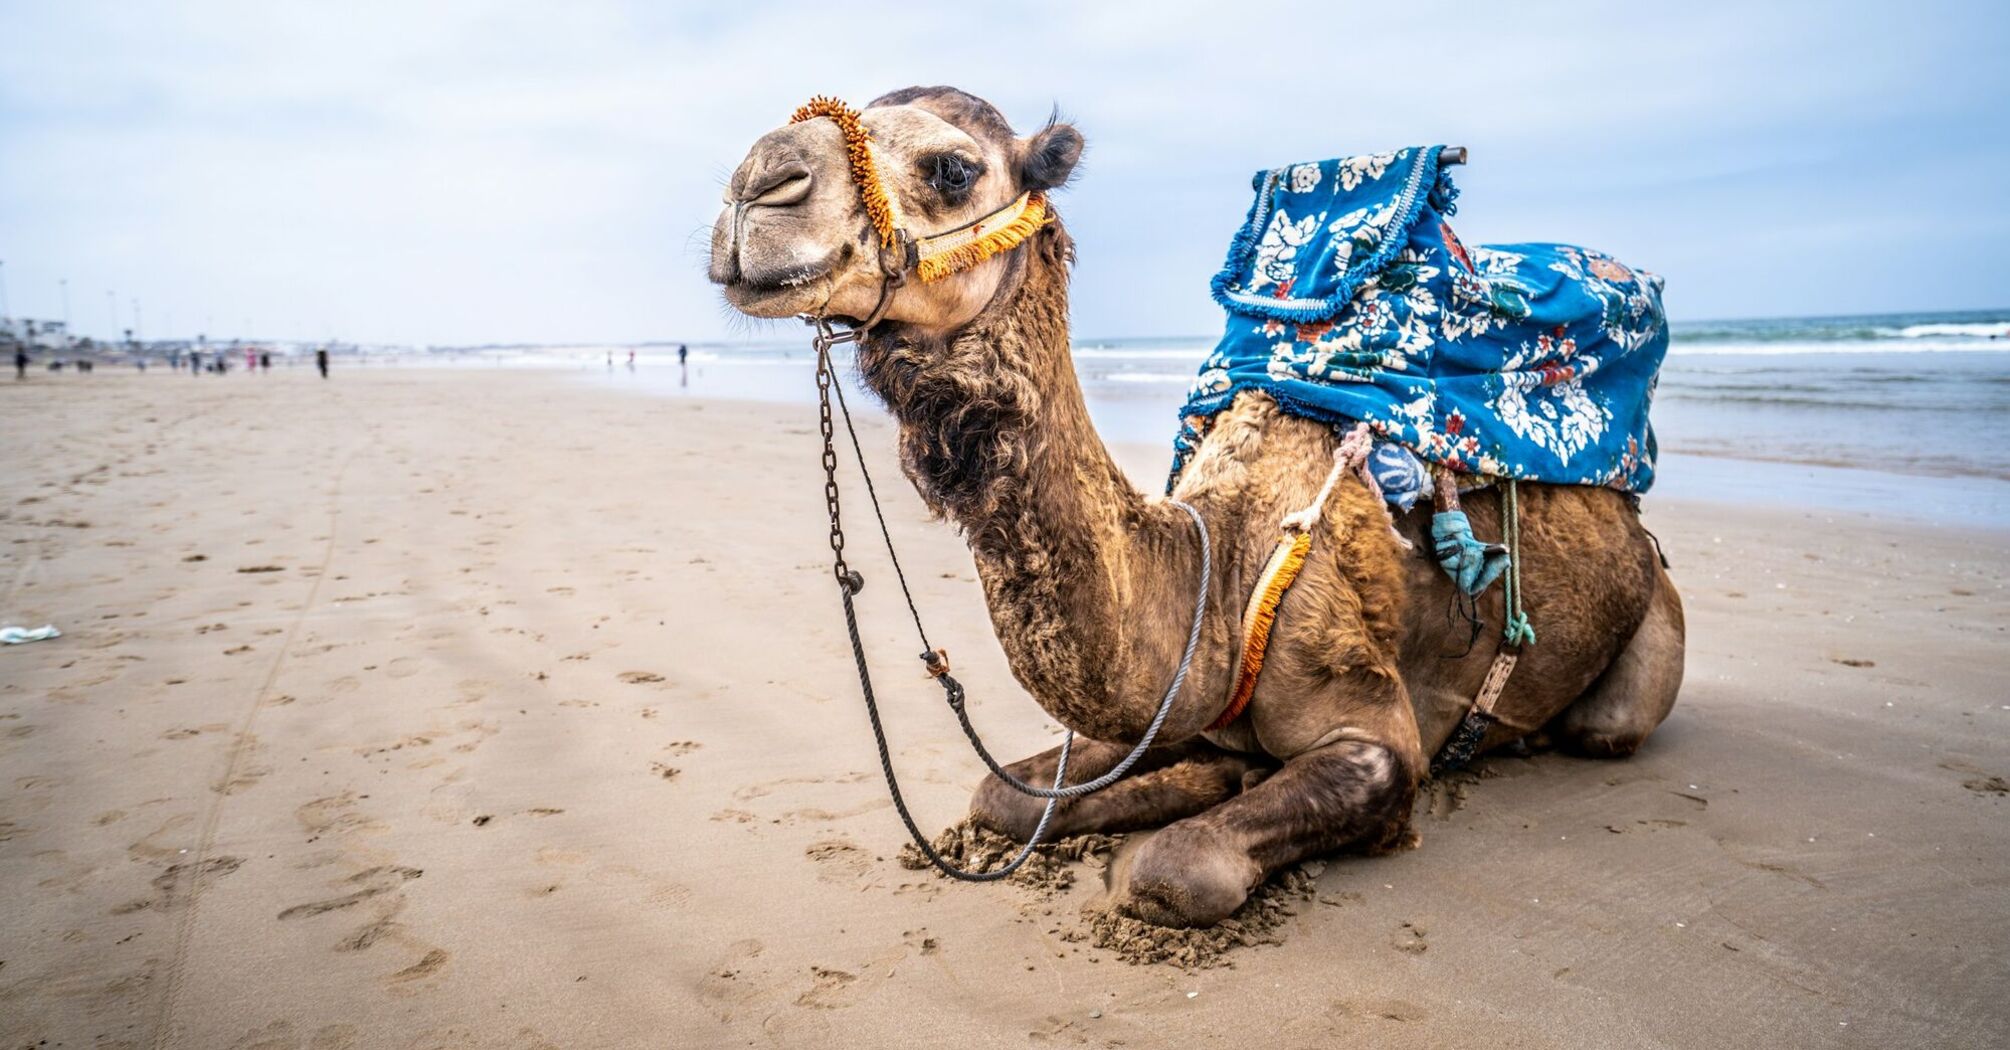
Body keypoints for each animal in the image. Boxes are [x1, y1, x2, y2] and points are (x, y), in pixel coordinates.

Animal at [708, 86, 1685, 928]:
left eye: (952, 168)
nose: (758, 179)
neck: (1220, 570)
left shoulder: (1374, 728)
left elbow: (1174, 867)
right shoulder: (1171, 707)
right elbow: (999, 795)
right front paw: (1194, 783)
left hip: (1643, 641)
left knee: (1606, 725)